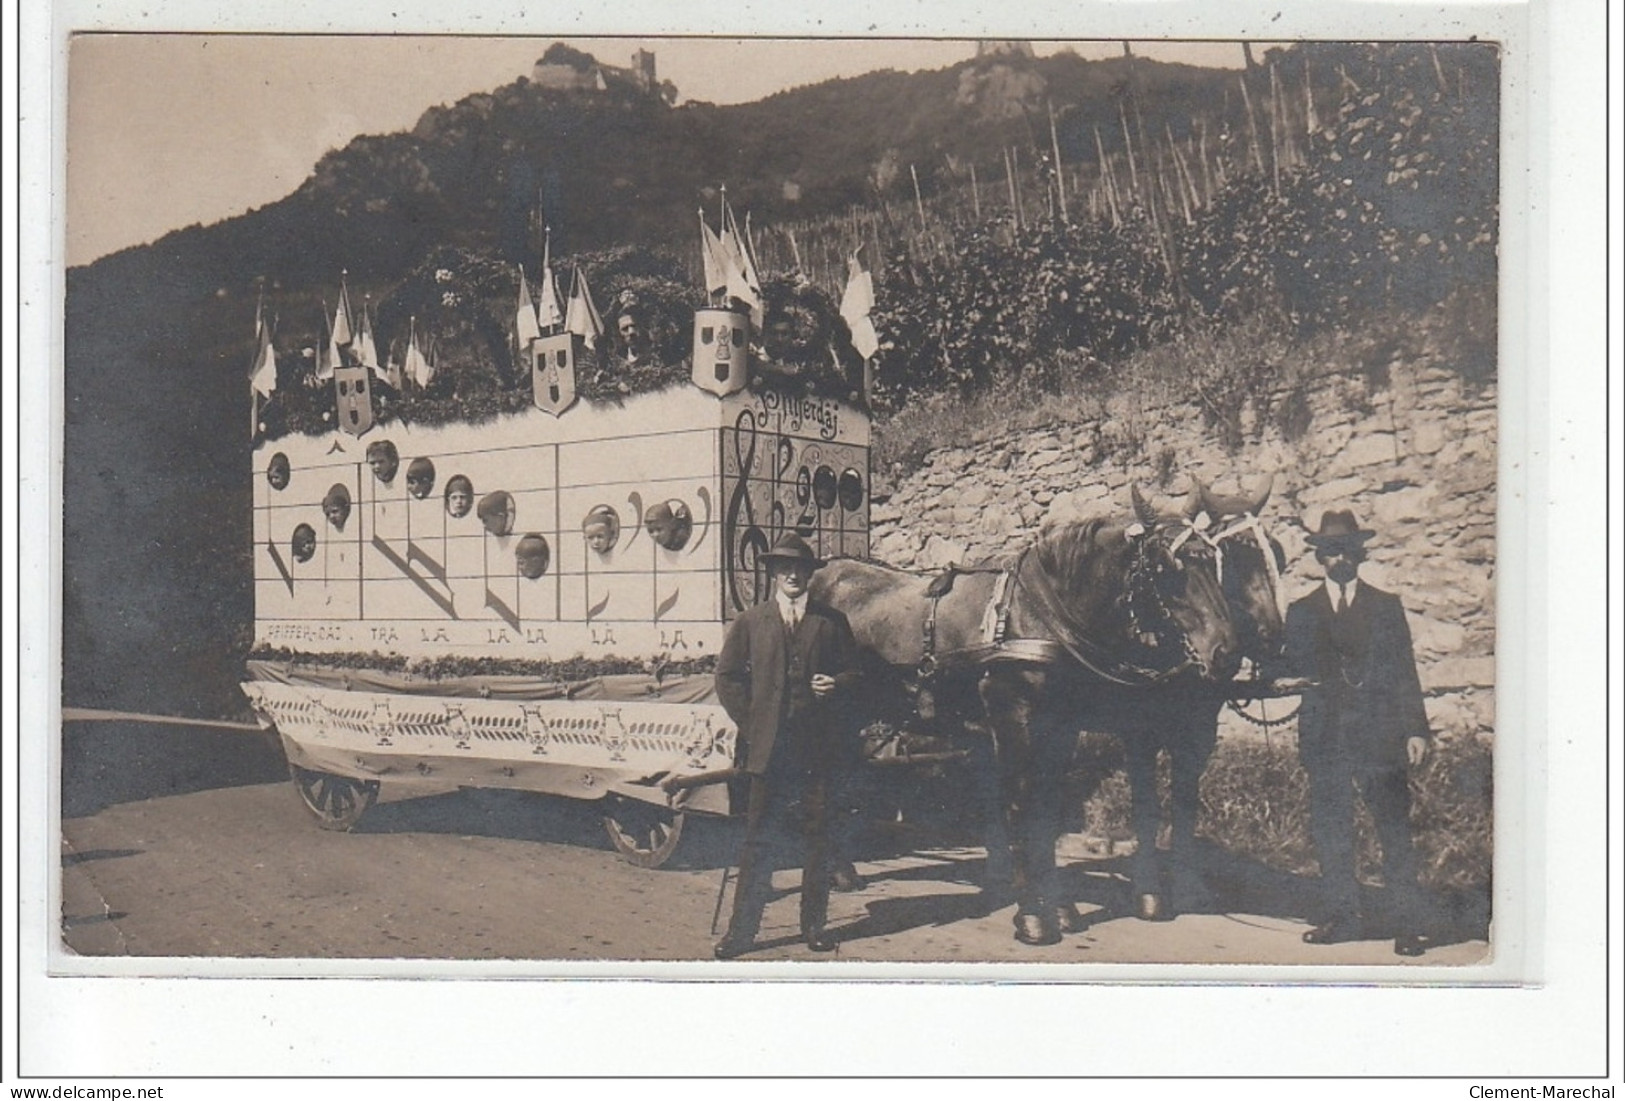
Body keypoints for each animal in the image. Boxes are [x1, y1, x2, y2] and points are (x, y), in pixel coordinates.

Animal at [819, 493, 1235, 948]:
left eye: (1214, 562)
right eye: (1166, 568)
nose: (1225, 652)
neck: (1040, 613)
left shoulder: (1062, 728)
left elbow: (1049, 809)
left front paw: (1061, 907)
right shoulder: (1012, 717)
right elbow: (1020, 804)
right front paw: (1033, 915)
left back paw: (839, 869)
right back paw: (835, 869)